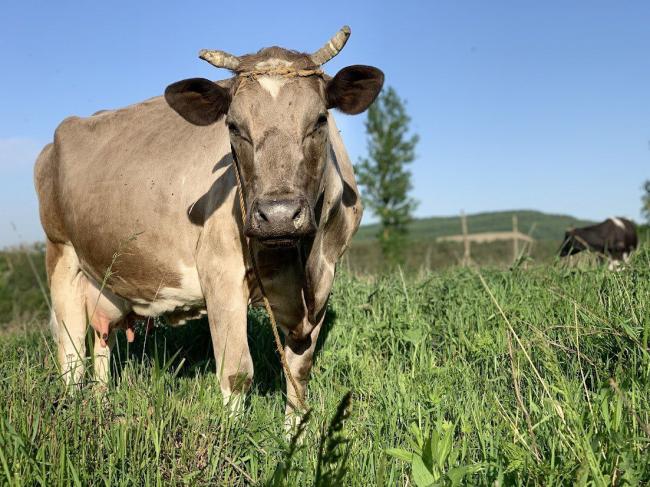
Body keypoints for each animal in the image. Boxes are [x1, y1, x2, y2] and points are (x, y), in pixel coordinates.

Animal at [33, 25, 382, 424]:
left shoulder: (324, 280)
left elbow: (299, 373)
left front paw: (295, 434)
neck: (297, 262)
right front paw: (233, 435)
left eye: (321, 120)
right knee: (71, 351)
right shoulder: (219, 269)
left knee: (101, 342)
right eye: (233, 126)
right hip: (61, 254)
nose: (278, 214)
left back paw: (102, 404)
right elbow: (236, 371)